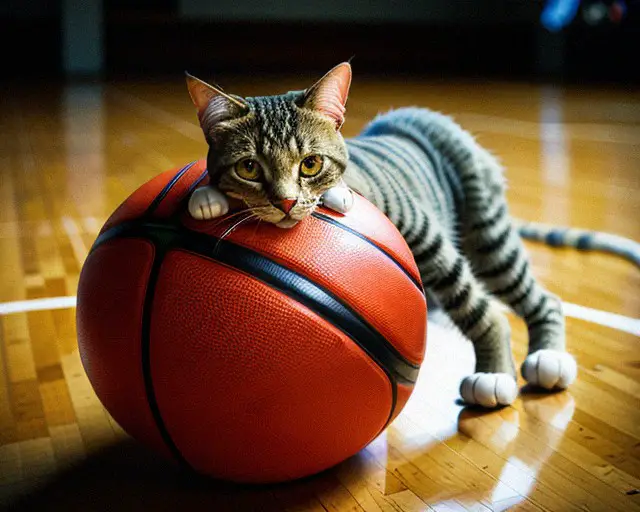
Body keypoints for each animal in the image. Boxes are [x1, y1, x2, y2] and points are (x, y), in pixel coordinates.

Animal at [182, 63, 636, 408]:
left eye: (310, 164)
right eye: (249, 168)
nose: (287, 202)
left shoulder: (422, 229)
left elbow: (481, 310)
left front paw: (493, 372)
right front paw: (207, 195)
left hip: (486, 235)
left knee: (538, 297)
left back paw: (545, 357)